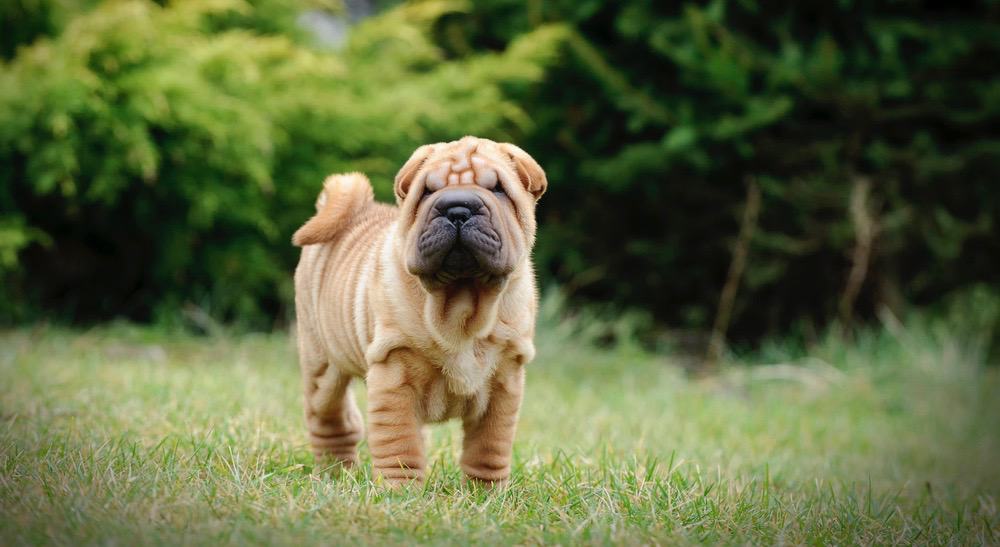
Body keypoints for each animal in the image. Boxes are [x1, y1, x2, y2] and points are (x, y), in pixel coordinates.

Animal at [290, 136, 548, 484]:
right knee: (331, 419)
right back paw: (335, 474)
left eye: (498, 189)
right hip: (322, 365)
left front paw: (487, 491)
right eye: (426, 191)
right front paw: (399, 489)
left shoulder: (505, 380)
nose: (457, 208)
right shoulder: (393, 372)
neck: (462, 304)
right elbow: (399, 443)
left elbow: (489, 447)